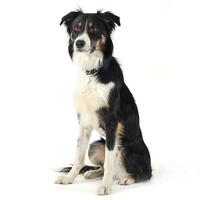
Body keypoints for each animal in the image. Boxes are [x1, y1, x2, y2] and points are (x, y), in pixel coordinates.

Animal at [54, 9, 152, 195]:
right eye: (76, 28)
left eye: (93, 28)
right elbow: (78, 156)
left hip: (125, 147)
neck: (92, 72)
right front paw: (69, 178)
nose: (79, 43)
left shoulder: (112, 121)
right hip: (96, 145)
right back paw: (92, 173)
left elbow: (109, 161)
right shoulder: (83, 120)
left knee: (143, 173)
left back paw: (127, 178)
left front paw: (105, 187)